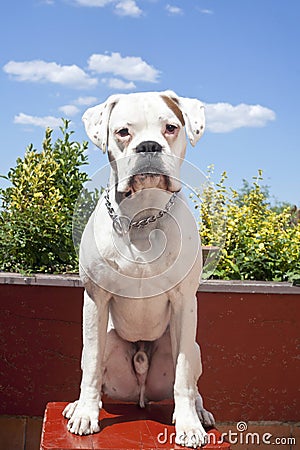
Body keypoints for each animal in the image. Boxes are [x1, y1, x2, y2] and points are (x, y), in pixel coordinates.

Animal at [63, 90, 214, 446]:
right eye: (122, 132)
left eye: (171, 127)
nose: (148, 146)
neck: (143, 219)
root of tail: (141, 395)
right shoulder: (96, 301)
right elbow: (92, 367)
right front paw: (85, 414)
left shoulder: (184, 303)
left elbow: (183, 377)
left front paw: (189, 425)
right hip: (105, 339)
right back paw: (79, 405)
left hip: (193, 346)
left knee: (192, 383)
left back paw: (200, 412)